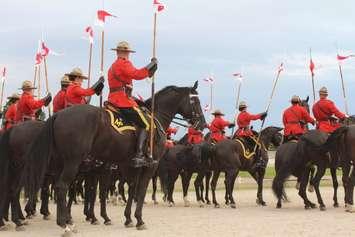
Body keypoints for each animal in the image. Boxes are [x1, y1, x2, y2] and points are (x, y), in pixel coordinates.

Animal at [23, 82, 206, 234]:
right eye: (195, 101)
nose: (202, 124)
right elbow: (139, 190)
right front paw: (139, 220)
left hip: (62, 164)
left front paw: (128, 218)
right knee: (61, 187)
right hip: (72, 162)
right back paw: (65, 224)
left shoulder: (130, 166)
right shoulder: (149, 166)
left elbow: (130, 189)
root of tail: (59, 115)